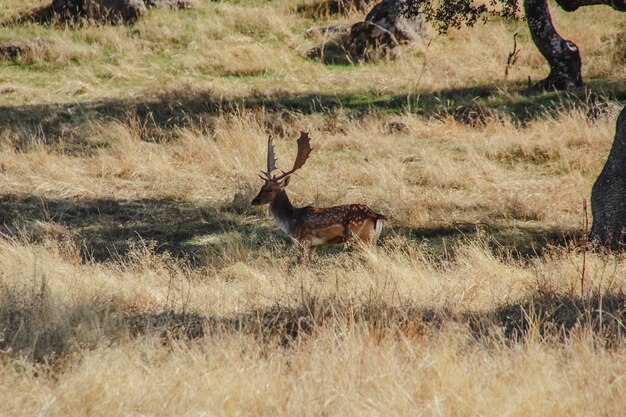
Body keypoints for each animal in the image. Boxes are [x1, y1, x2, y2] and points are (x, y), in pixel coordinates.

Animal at [249, 130, 386, 262]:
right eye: (261, 187)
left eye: (270, 190)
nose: (254, 201)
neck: (292, 222)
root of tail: (376, 216)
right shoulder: (312, 245)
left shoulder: (304, 239)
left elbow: (300, 263)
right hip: (371, 240)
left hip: (360, 238)